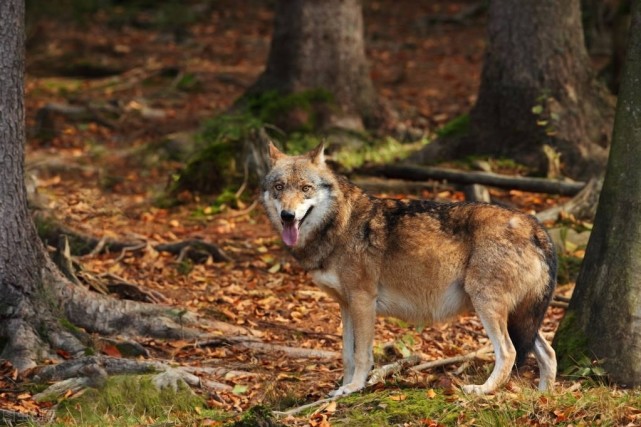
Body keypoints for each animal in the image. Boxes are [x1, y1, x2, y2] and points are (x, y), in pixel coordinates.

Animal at [260, 144, 556, 398]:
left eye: (305, 188)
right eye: (279, 187)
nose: (287, 216)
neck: (340, 223)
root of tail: (534, 225)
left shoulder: (363, 301)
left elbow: (362, 355)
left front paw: (355, 387)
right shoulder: (346, 305)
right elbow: (346, 354)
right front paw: (340, 389)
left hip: (487, 305)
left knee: (508, 352)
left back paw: (482, 389)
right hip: (519, 316)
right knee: (548, 352)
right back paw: (543, 396)